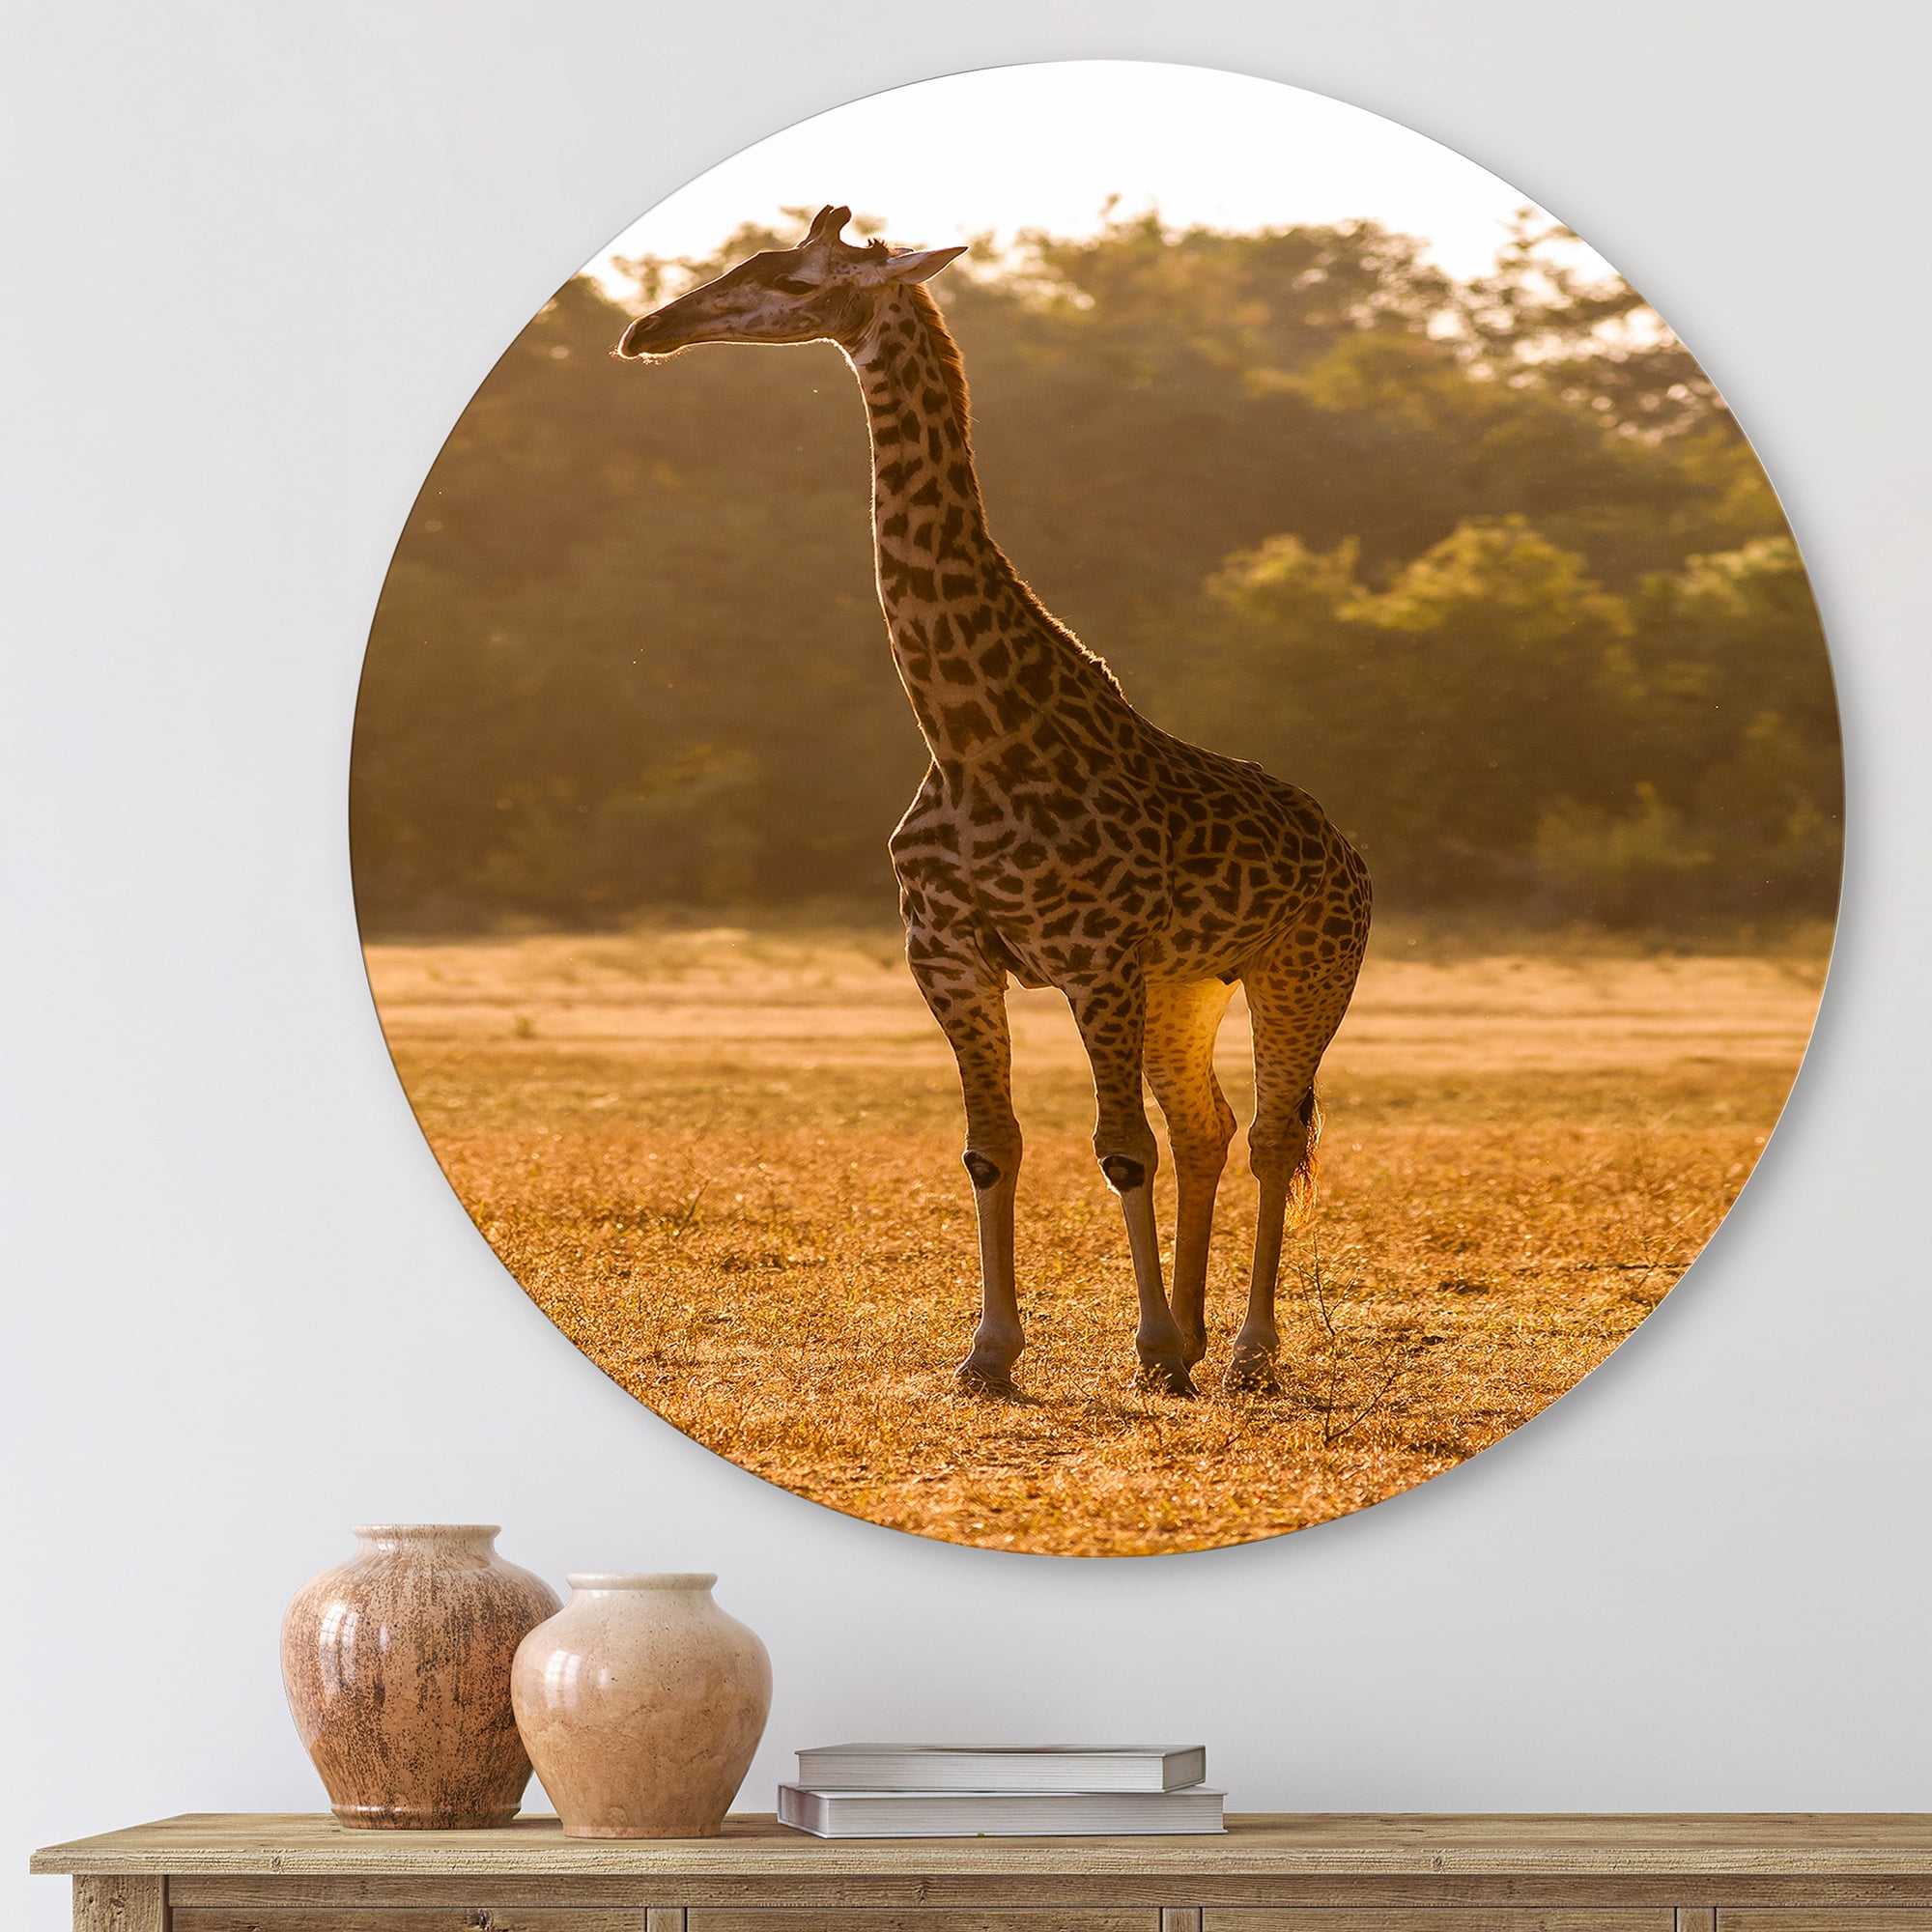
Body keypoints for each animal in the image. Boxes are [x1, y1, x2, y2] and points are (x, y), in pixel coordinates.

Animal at [616, 206, 1371, 1399]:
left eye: (795, 279)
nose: (649, 328)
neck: (970, 735)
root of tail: (1348, 851)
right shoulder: (950, 955)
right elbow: (993, 1147)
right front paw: (995, 1353)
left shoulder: (1094, 957)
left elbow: (1117, 1151)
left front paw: (1147, 1346)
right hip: (1186, 986)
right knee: (1204, 1126)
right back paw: (1200, 1334)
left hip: (1302, 968)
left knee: (1265, 1134)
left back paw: (1244, 1350)